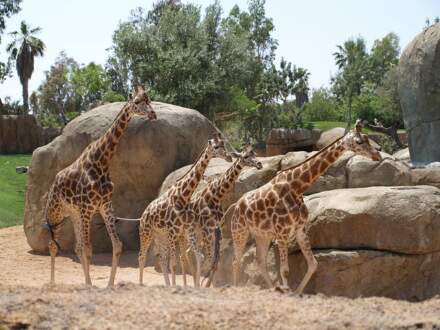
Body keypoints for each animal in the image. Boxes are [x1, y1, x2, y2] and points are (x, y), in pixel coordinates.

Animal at [44, 86, 156, 288]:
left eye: (149, 100)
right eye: (136, 102)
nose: (153, 114)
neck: (102, 162)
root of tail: (53, 184)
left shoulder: (104, 206)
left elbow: (117, 246)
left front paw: (108, 284)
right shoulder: (88, 209)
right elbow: (89, 249)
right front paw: (90, 285)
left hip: (73, 215)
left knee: (76, 247)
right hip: (55, 214)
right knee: (53, 245)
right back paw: (52, 282)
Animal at [139, 133, 234, 286]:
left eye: (223, 144)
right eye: (215, 147)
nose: (229, 157)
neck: (182, 196)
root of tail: (144, 213)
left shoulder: (179, 231)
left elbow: (178, 261)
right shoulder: (173, 231)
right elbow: (174, 264)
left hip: (160, 235)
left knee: (162, 258)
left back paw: (166, 284)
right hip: (146, 232)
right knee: (141, 256)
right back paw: (141, 284)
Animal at [180, 144, 262, 286]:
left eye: (255, 154)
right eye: (246, 156)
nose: (259, 164)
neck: (216, 195)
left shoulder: (217, 228)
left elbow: (215, 261)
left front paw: (207, 285)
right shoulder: (208, 229)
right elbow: (210, 259)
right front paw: (205, 285)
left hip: (197, 233)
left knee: (188, 253)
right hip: (189, 232)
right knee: (184, 255)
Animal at [230, 122, 382, 294]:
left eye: (367, 139)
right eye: (359, 141)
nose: (378, 155)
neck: (297, 187)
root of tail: (236, 205)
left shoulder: (300, 229)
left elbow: (313, 264)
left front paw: (295, 292)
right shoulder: (282, 232)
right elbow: (285, 270)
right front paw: (288, 291)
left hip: (262, 234)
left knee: (260, 262)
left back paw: (273, 289)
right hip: (240, 231)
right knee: (236, 261)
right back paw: (236, 288)